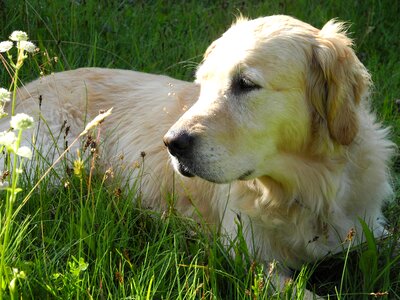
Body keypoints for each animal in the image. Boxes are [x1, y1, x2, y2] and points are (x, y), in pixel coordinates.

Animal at [6, 14, 394, 298]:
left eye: (245, 84)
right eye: (203, 84)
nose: (170, 143)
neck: (307, 187)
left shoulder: (370, 229)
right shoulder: (249, 259)